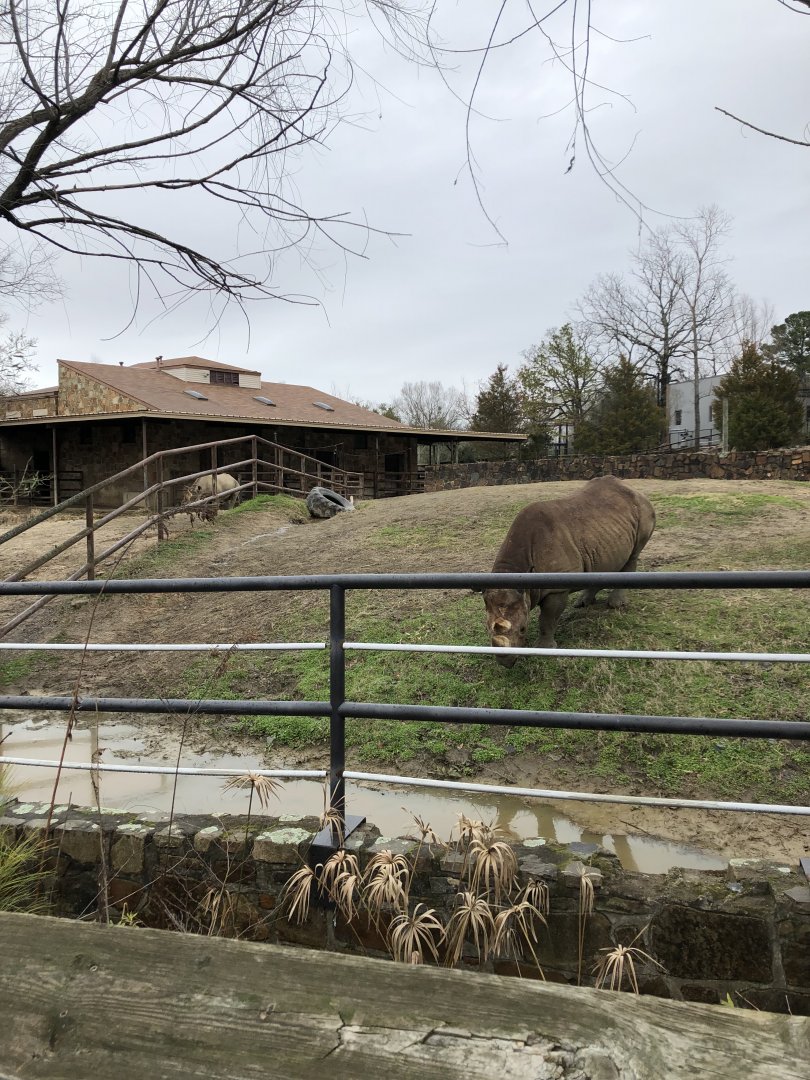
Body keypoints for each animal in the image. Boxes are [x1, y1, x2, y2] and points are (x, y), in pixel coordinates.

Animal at [482, 476, 655, 667]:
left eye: (523, 629)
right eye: (488, 629)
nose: (504, 662)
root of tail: (633, 489)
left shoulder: (557, 589)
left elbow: (547, 619)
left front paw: (544, 649)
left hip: (644, 511)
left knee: (634, 554)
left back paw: (615, 605)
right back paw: (583, 603)